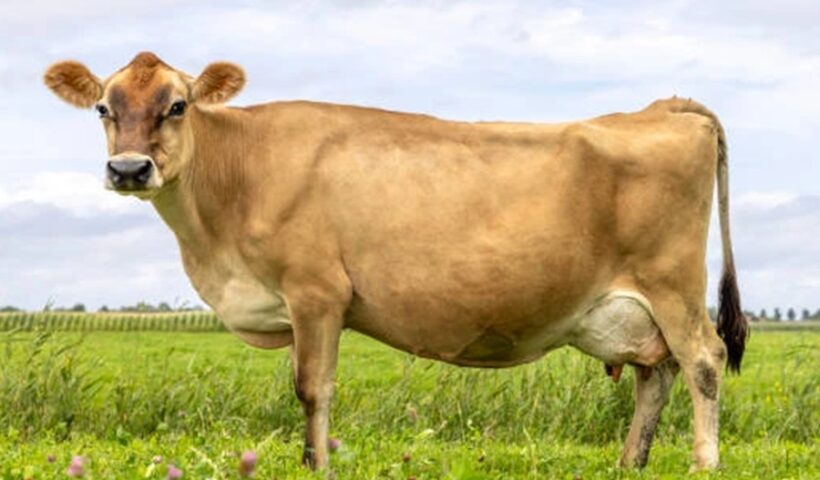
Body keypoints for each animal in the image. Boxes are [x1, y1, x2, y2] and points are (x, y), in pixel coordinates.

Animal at [44, 52, 748, 472]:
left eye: (178, 104)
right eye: (104, 107)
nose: (129, 169)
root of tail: (661, 107)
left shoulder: (316, 292)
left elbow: (312, 388)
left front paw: (318, 464)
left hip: (672, 284)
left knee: (702, 360)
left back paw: (702, 463)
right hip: (632, 306)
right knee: (655, 371)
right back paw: (630, 462)